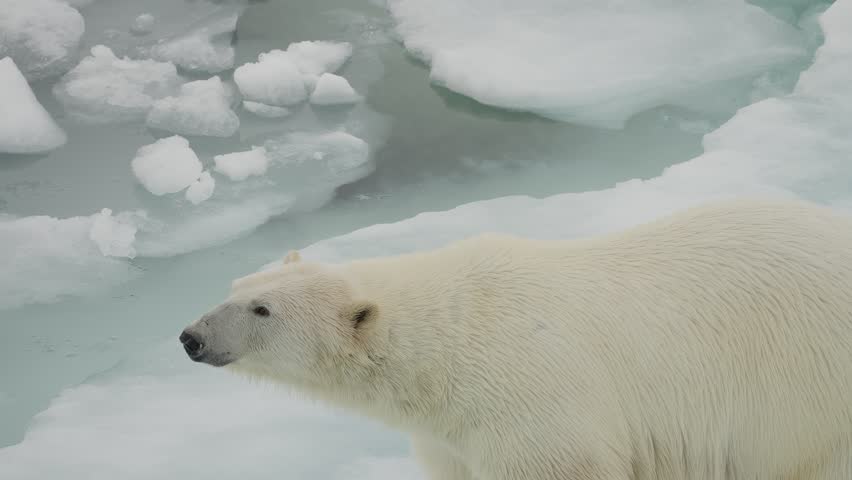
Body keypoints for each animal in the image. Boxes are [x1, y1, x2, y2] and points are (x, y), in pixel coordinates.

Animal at [181, 197, 852, 480]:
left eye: (261, 309)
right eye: (235, 285)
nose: (190, 336)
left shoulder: (532, 405)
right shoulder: (449, 438)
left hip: (805, 391)